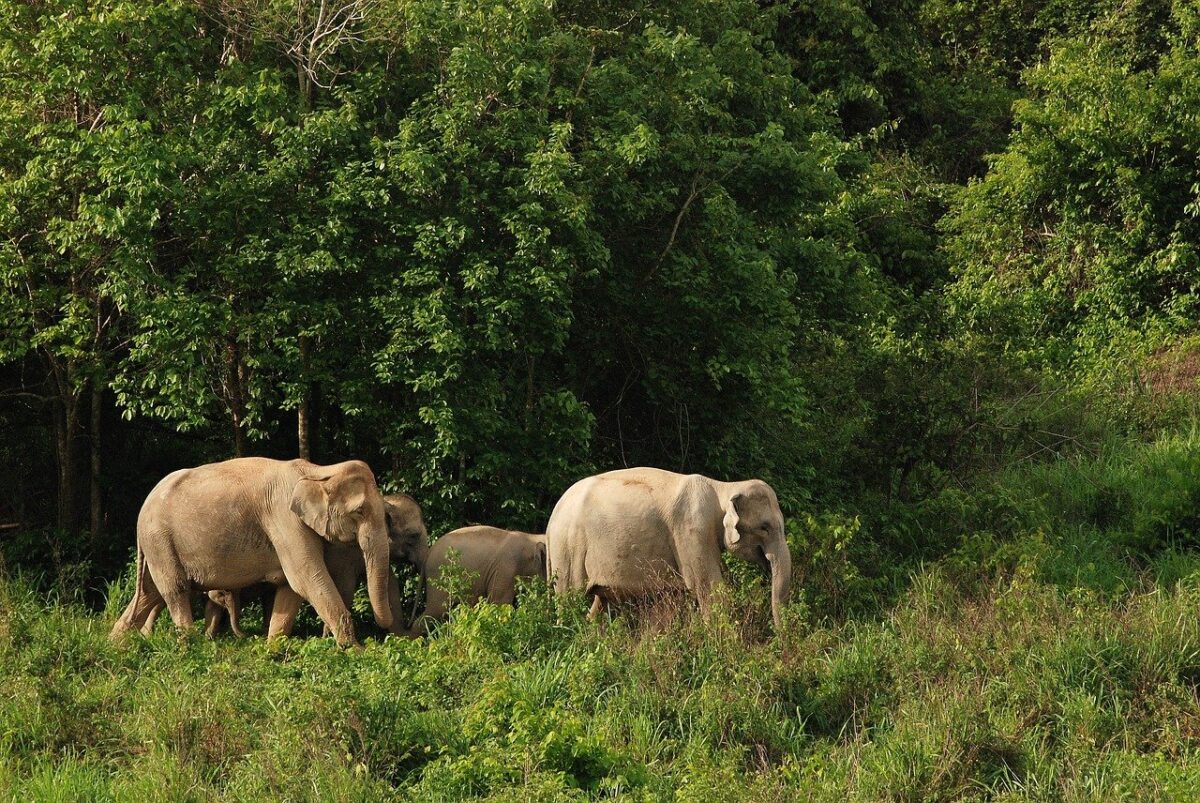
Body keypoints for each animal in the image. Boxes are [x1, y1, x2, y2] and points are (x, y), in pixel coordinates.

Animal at [110, 456, 396, 643]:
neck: (318, 470)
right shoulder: (284, 519)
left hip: (157, 545)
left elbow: (290, 588)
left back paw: (116, 645)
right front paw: (355, 651)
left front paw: (273, 651)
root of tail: (143, 508)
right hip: (159, 540)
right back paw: (189, 647)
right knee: (175, 590)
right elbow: (306, 578)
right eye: (359, 511)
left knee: (150, 593)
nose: (385, 630)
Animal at [410, 525, 547, 633]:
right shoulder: (505, 569)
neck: (531, 538)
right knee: (435, 611)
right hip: (438, 576)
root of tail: (429, 552)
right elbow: (499, 603)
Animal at [547, 465, 792, 628]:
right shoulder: (692, 531)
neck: (723, 487)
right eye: (765, 527)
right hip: (567, 548)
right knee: (569, 598)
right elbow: (709, 588)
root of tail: (552, 519)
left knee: (599, 602)